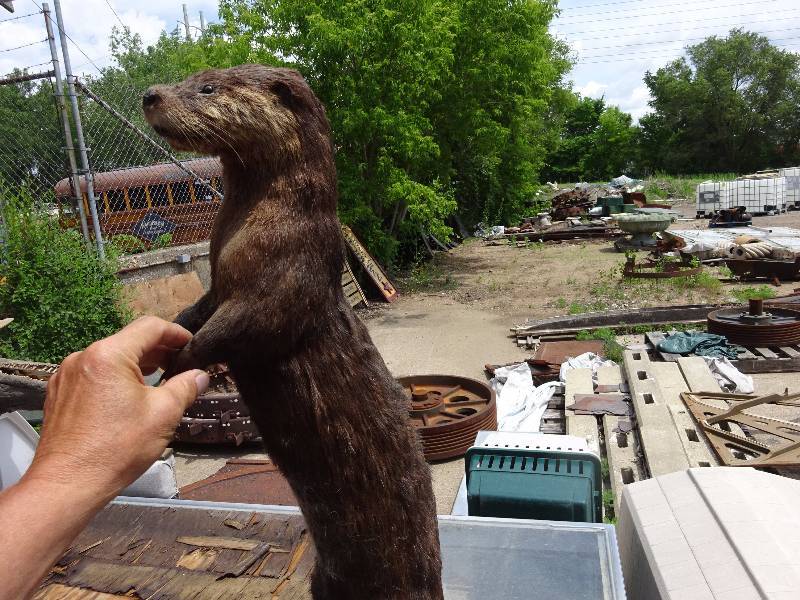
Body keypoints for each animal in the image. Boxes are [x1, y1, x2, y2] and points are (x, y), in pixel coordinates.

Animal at [143, 65, 443, 599]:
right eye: (189, 77)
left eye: (208, 87)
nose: (150, 94)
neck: (263, 221)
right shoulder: (218, 286)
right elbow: (199, 311)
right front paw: (166, 337)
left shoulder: (282, 280)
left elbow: (242, 328)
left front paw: (179, 367)